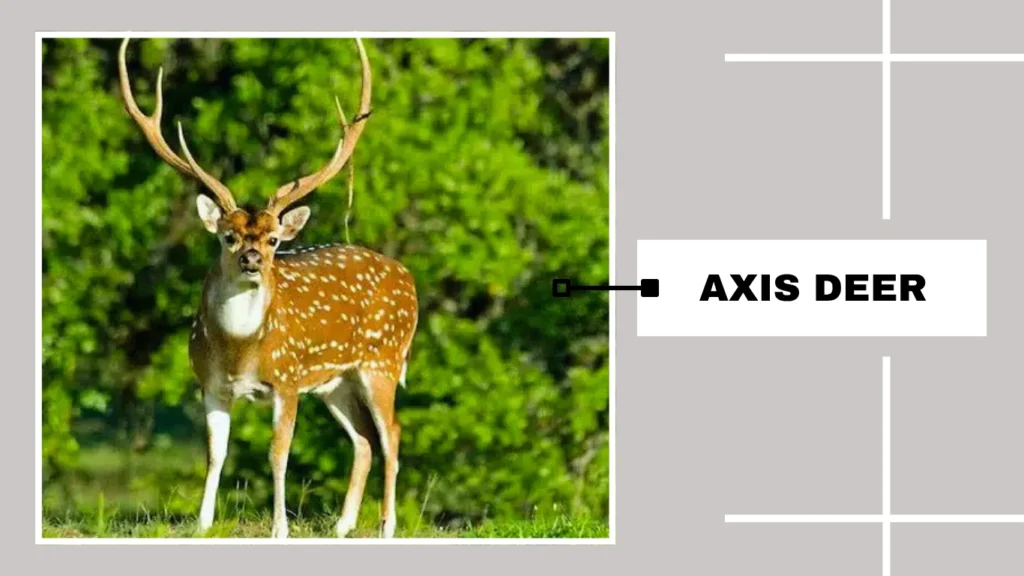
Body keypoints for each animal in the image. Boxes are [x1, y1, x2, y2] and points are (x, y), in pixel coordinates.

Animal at [117, 37, 418, 539]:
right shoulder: (209, 383)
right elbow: (215, 454)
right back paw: (342, 526)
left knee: (390, 432)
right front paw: (201, 525)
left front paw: (280, 529)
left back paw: (386, 526)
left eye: (275, 239)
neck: (240, 352)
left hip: (383, 360)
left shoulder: (287, 380)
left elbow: (278, 454)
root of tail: (408, 278)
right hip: (335, 380)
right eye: (228, 236)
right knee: (362, 439)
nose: (253, 259)